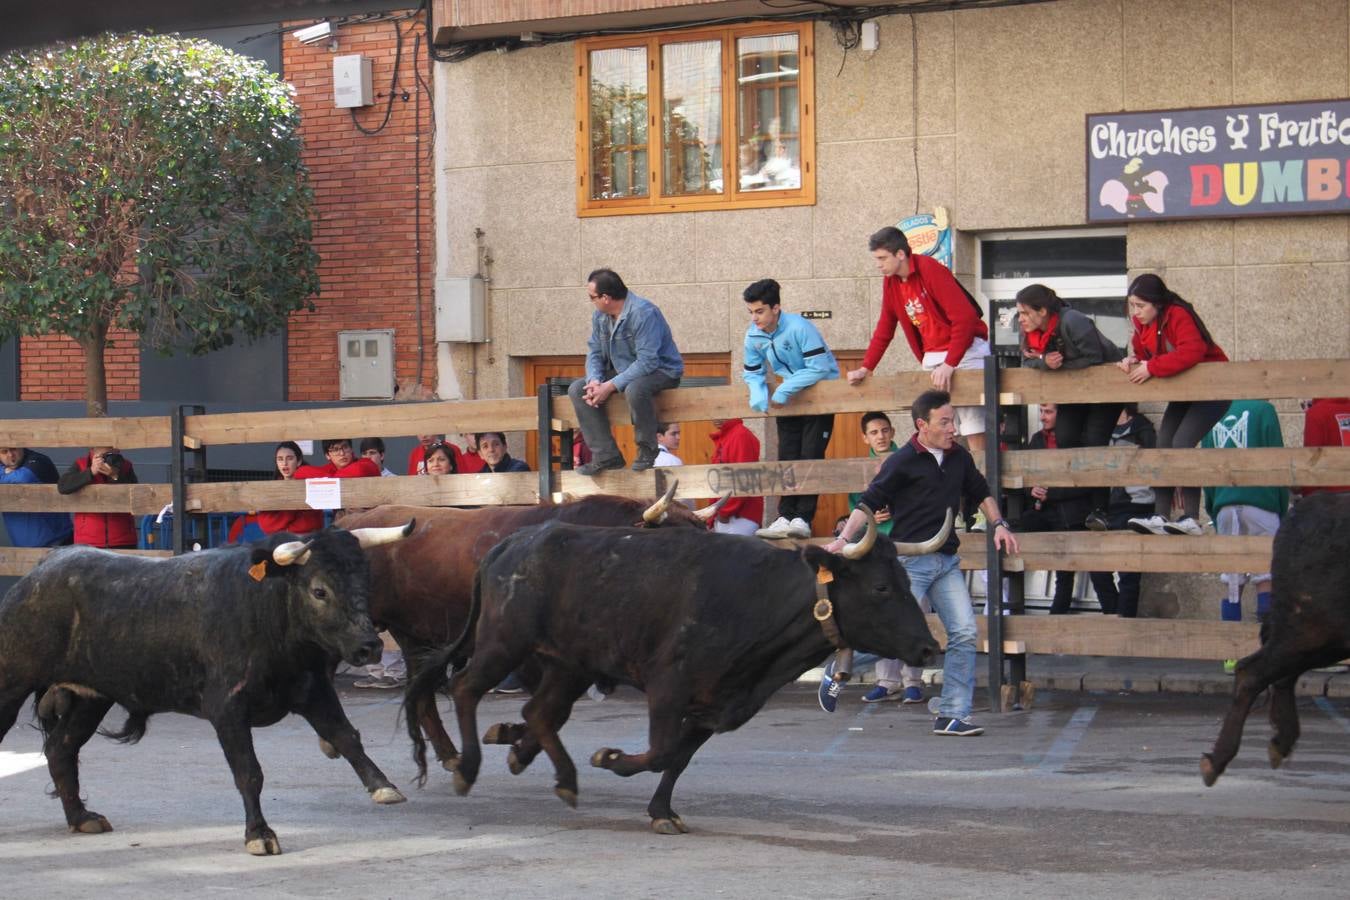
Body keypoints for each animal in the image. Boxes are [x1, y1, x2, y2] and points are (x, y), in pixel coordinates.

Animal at [0, 523, 410, 858]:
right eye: (319, 590)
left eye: (366, 583)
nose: (369, 647)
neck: (264, 608)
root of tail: (38, 572)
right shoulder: (227, 707)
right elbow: (249, 771)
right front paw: (259, 835)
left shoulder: (312, 689)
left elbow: (345, 736)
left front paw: (383, 786)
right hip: (12, 683)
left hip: (92, 697)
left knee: (60, 748)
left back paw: (82, 817)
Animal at [332, 485, 723, 777]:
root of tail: (353, 522)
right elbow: (549, 709)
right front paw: (513, 739)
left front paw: (511, 737)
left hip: (414, 635)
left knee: (422, 694)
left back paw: (450, 755)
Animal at [405, 510, 945, 836]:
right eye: (880, 587)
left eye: (905, 581)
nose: (929, 647)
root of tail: (511, 544)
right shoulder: (668, 687)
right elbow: (662, 750)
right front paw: (611, 758)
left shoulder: (718, 706)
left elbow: (679, 757)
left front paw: (661, 811)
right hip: (503, 643)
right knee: (465, 687)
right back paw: (469, 767)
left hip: (567, 665)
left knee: (539, 712)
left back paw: (560, 775)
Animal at [1204, 493, 1350, 788]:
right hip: (1312, 630)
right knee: (1252, 671)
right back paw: (1218, 760)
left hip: (1323, 638)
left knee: (1281, 675)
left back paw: (1280, 741)